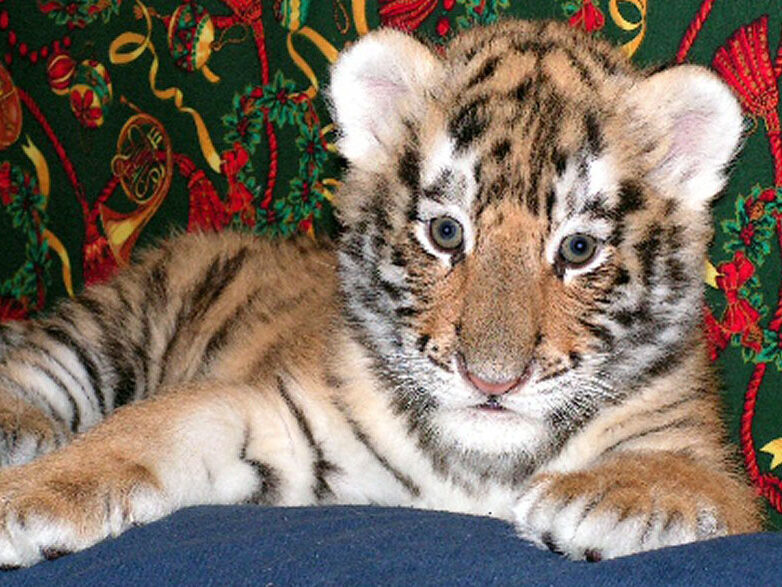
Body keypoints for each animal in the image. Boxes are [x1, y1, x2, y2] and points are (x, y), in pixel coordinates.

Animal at [0, 19, 763, 569]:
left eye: (578, 250)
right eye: (447, 232)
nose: (492, 380)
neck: (479, 470)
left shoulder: (709, 458)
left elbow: (707, 486)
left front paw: (611, 496)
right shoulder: (273, 419)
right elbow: (138, 431)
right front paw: (23, 500)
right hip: (120, 318)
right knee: (37, 360)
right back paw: (21, 432)